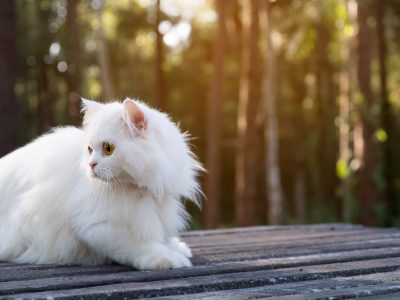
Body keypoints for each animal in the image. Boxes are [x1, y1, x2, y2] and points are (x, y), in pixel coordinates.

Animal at [0, 98, 202, 270]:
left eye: (108, 149)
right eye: (90, 149)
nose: (91, 164)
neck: (142, 188)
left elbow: (162, 236)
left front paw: (176, 247)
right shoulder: (97, 225)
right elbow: (140, 244)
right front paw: (167, 258)